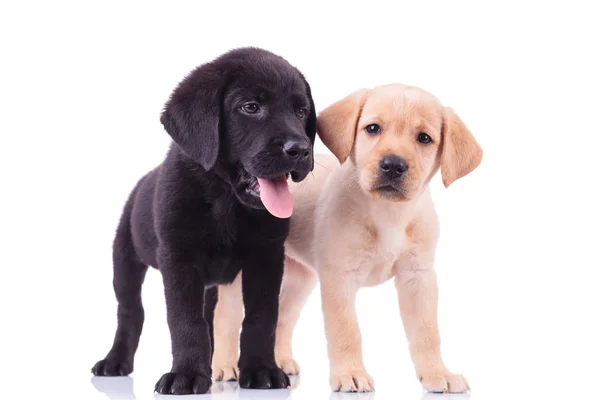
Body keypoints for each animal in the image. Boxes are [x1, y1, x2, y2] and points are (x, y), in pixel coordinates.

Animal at [91, 46, 316, 394]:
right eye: (251, 107)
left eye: (302, 111)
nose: (301, 150)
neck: (226, 202)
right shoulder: (179, 258)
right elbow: (186, 320)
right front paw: (185, 375)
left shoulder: (267, 257)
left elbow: (261, 316)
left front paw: (261, 370)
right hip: (125, 261)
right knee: (130, 313)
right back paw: (115, 361)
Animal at [211, 83, 482, 394]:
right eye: (372, 128)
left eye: (424, 138)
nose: (393, 165)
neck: (387, 213)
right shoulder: (340, 278)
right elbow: (346, 330)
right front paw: (350, 374)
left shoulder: (418, 277)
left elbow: (427, 332)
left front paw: (437, 373)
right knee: (226, 317)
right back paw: (224, 365)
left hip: (300, 280)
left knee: (283, 318)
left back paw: (280, 362)